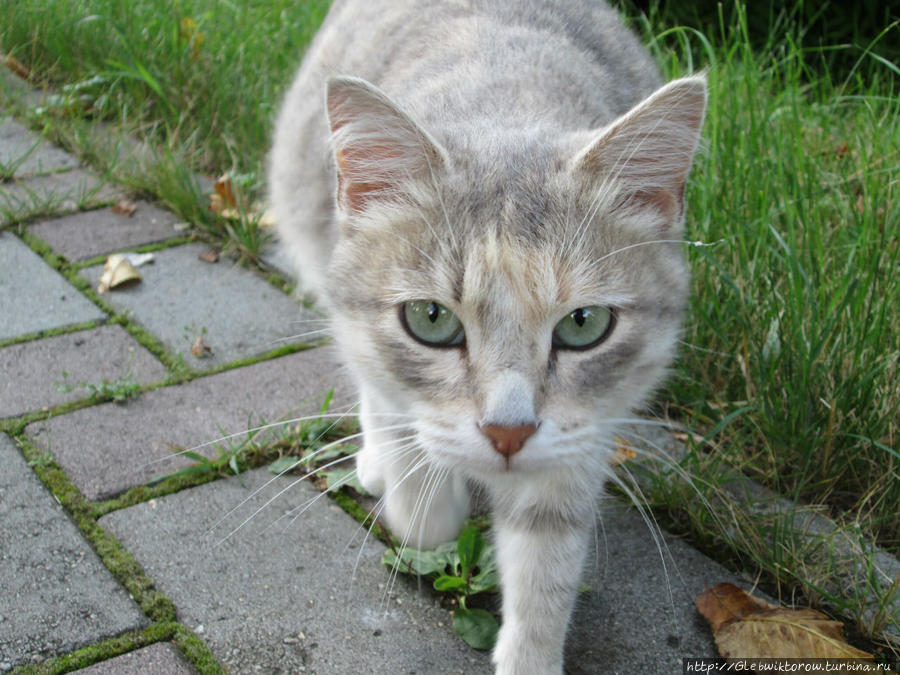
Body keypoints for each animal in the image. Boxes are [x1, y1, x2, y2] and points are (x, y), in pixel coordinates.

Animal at [270, 1, 708, 672]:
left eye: (584, 324)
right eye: (430, 319)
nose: (508, 433)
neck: (508, 101)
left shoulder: (581, 435)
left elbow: (546, 561)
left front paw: (529, 655)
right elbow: (411, 462)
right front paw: (426, 502)